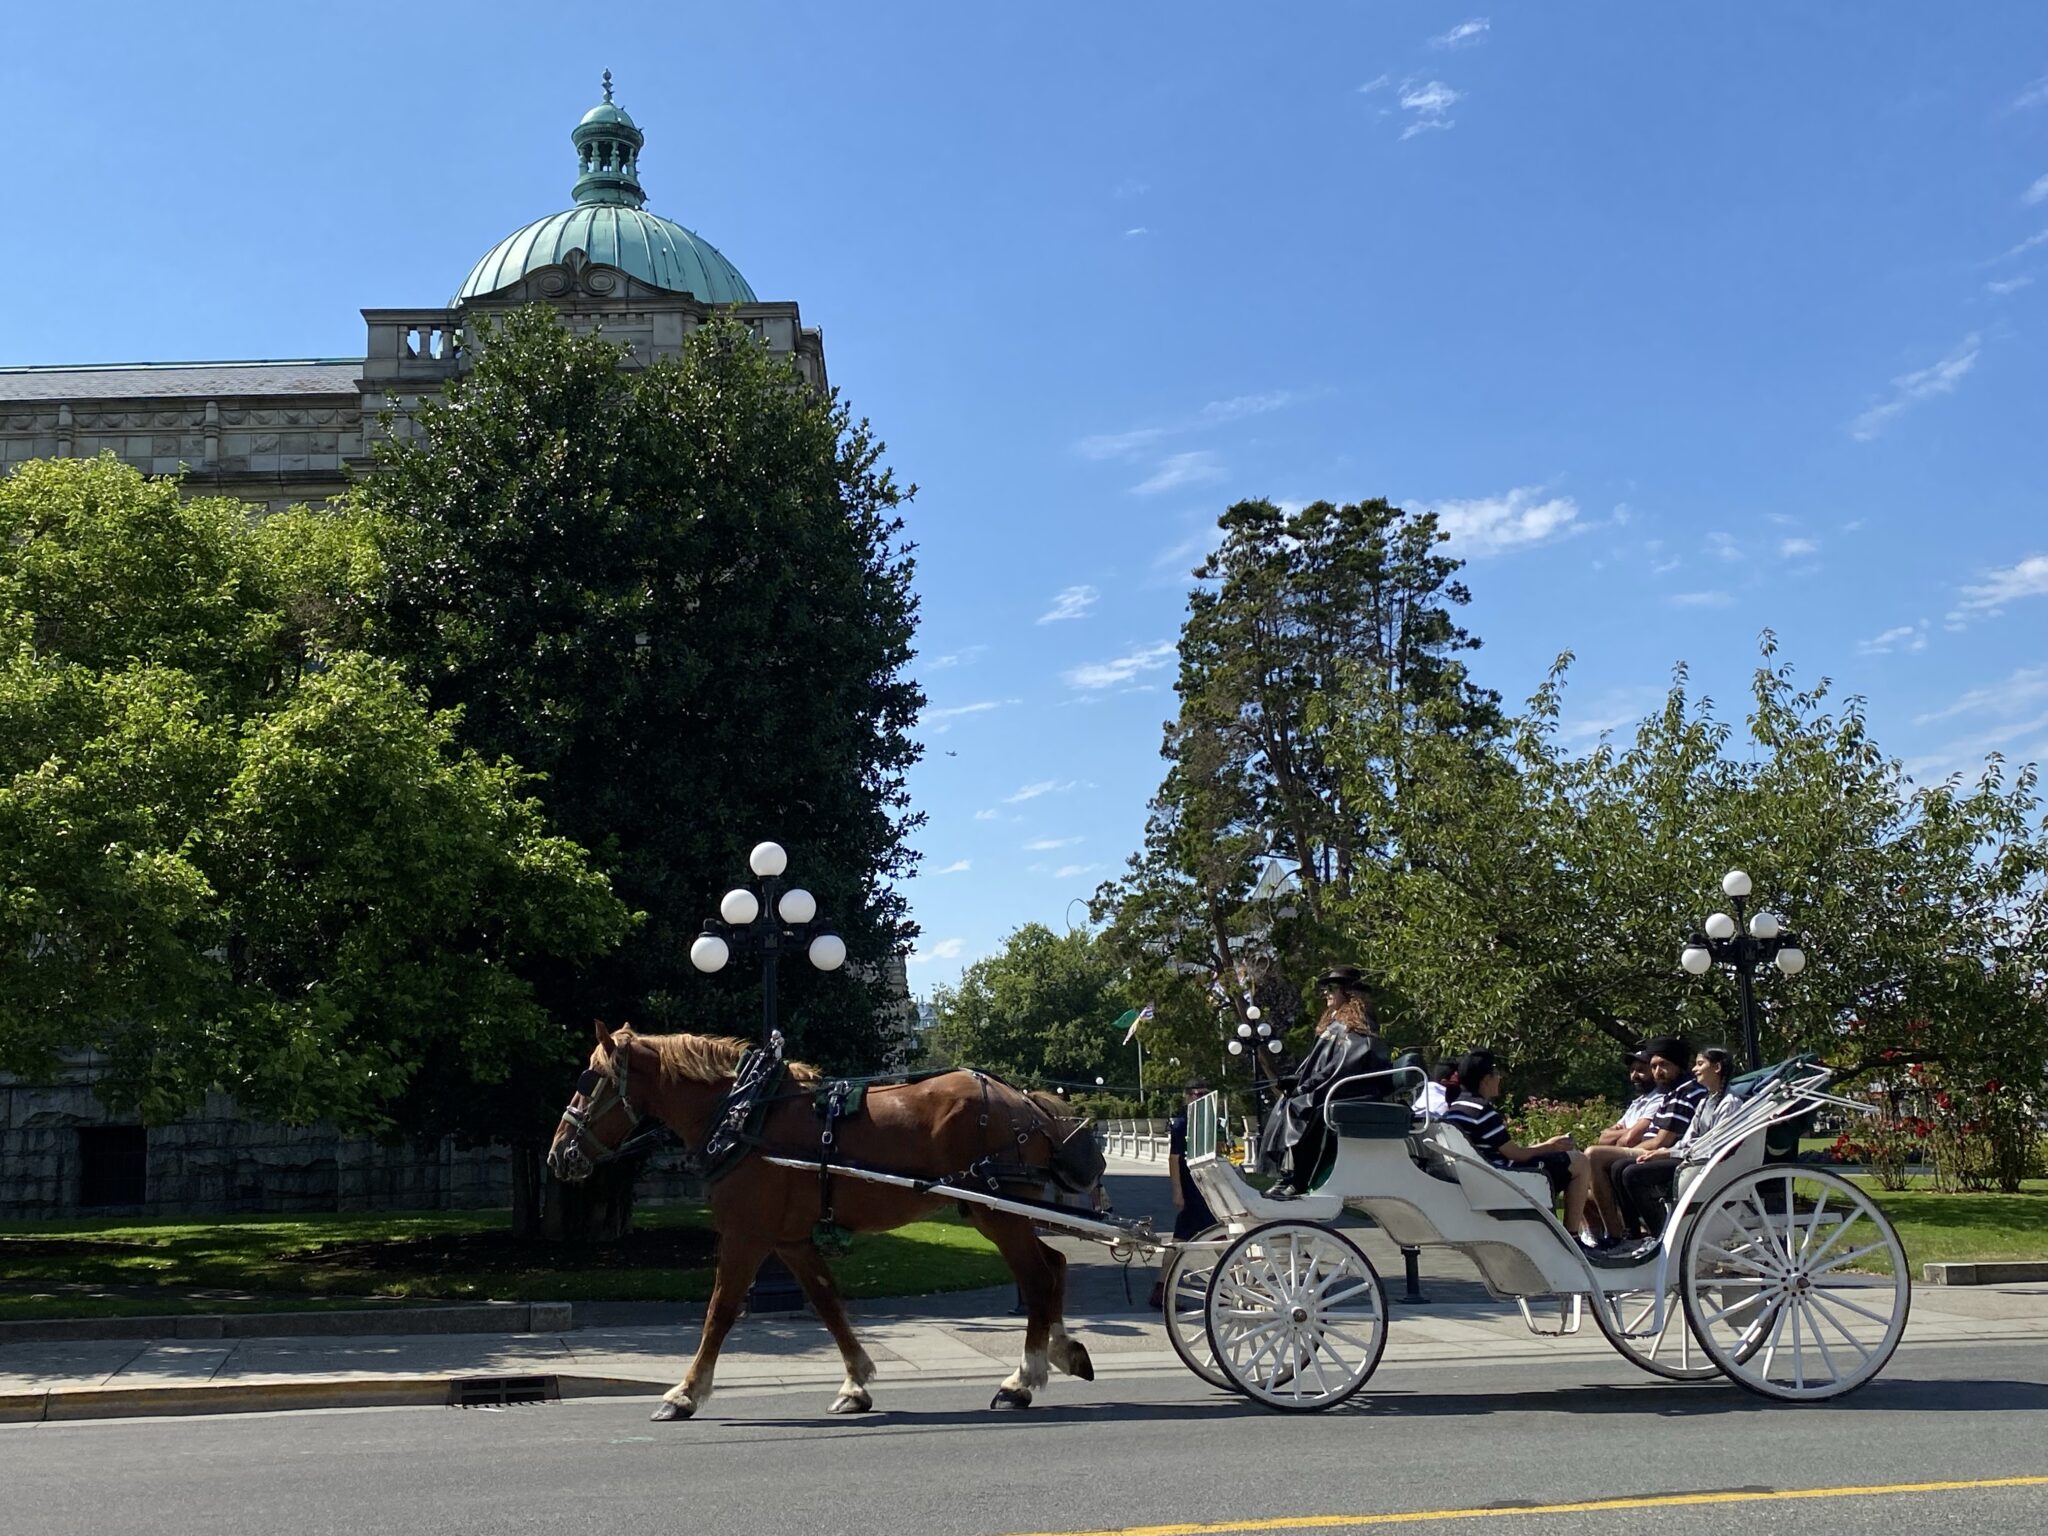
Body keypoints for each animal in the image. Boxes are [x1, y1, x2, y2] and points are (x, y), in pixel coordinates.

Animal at [536, 1028, 1097, 1425]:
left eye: (589, 1081)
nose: (558, 1154)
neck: (744, 1115)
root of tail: (1025, 1101)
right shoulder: (789, 1239)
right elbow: (827, 1303)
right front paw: (856, 1384)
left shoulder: (746, 1234)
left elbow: (719, 1312)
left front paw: (685, 1393)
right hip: (1000, 1211)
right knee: (1054, 1265)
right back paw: (1060, 1352)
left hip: (996, 1211)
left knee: (1037, 1276)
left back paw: (1021, 1379)